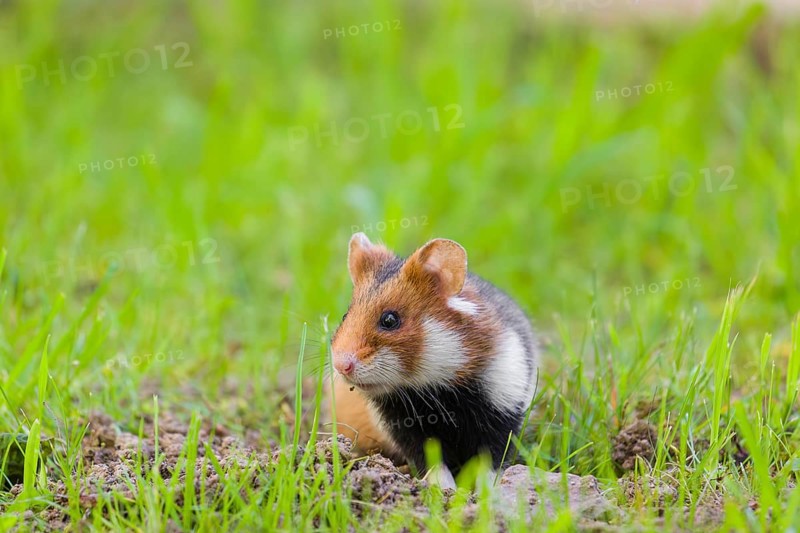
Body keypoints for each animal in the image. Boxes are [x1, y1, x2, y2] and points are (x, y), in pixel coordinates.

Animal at [329, 233, 539, 483]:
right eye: (345, 316)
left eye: (390, 320)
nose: (340, 366)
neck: (437, 384)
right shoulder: (404, 428)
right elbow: (431, 461)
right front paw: (444, 489)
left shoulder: (504, 410)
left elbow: (491, 461)